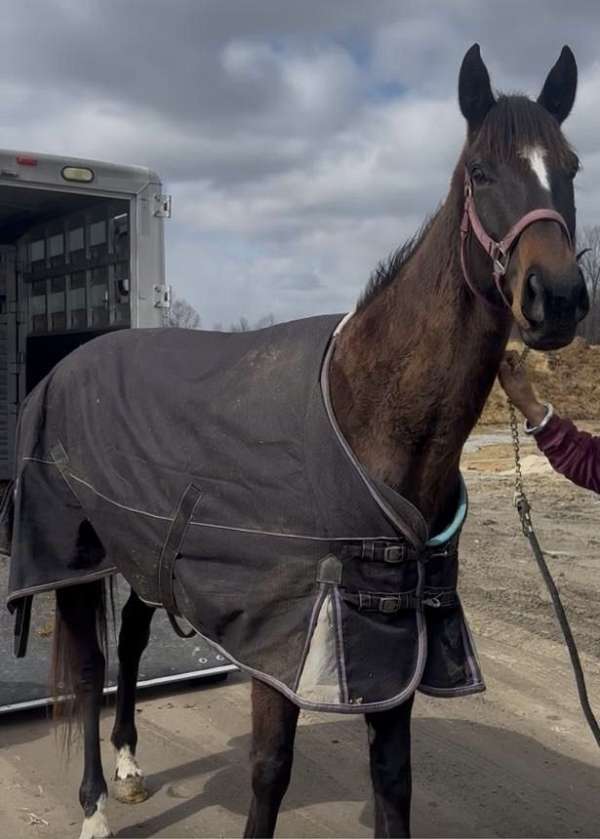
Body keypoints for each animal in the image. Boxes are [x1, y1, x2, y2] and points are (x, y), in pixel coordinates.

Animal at [7, 44, 589, 839]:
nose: (556, 299)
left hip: (147, 549)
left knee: (127, 639)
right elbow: (270, 773)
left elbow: (394, 779)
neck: (364, 414)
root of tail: (71, 363)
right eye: (480, 172)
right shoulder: (283, 638)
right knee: (91, 665)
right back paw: (94, 806)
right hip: (73, 552)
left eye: (572, 166)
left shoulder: (394, 638)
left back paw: (128, 767)